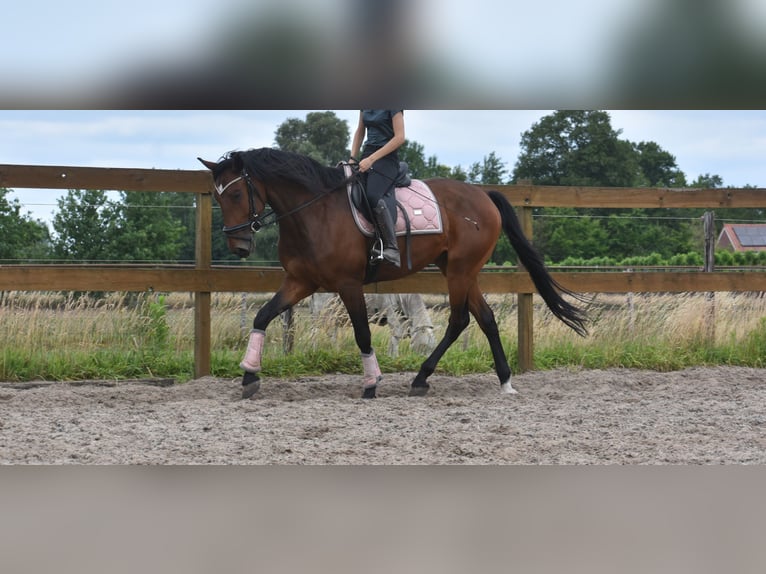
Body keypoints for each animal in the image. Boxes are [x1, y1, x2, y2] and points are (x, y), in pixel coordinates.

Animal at [198, 148, 587, 399]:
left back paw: (421, 378)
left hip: (460, 271)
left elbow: (363, 334)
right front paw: (249, 375)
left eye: (236, 193)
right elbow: (263, 315)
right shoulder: (300, 282)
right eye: (217, 198)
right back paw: (503, 381)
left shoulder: (349, 285)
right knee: (486, 317)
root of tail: (484, 196)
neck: (314, 213)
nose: (238, 246)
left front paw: (372, 384)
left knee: (459, 320)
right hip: (459, 269)